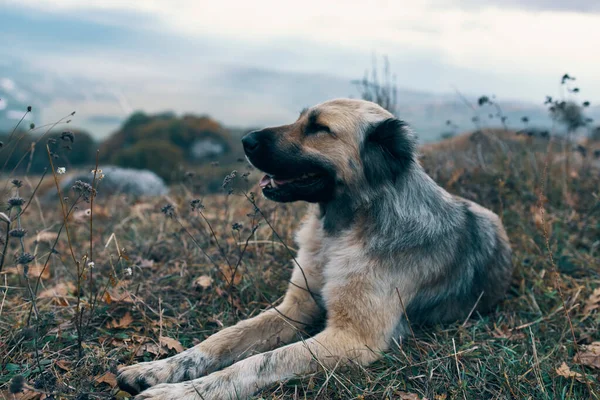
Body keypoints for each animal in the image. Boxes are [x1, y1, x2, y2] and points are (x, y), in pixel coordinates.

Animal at [117, 98, 510, 398]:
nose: (245, 140)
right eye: (300, 118)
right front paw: (160, 368)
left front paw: (186, 392)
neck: (343, 229)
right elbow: (224, 338)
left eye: (319, 128)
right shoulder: (295, 307)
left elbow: (259, 361)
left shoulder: (352, 338)